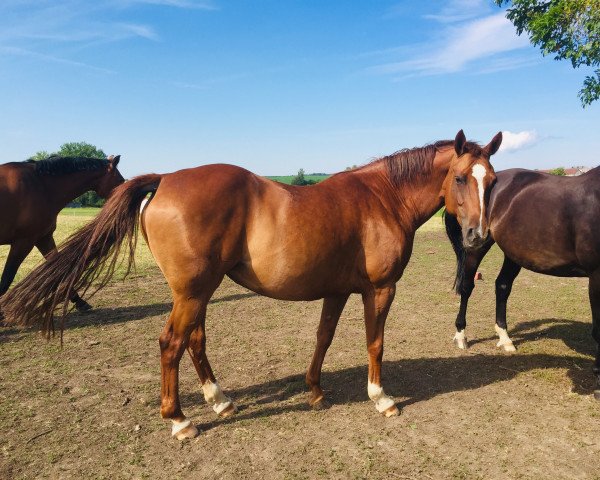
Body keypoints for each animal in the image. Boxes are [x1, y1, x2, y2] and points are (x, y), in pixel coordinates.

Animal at [0, 156, 123, 310]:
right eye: (120, 180)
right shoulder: (23, 242)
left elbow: (57, 271)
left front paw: (79, 301)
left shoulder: (43, 238)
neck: (41, 185)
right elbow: (6, 279)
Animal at [442, 167, 600, 400]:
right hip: (477, 244)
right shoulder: (596, 276)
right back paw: (461, 336)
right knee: (467, 287)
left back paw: (505, 338)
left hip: (513, 253)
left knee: (502, 286)